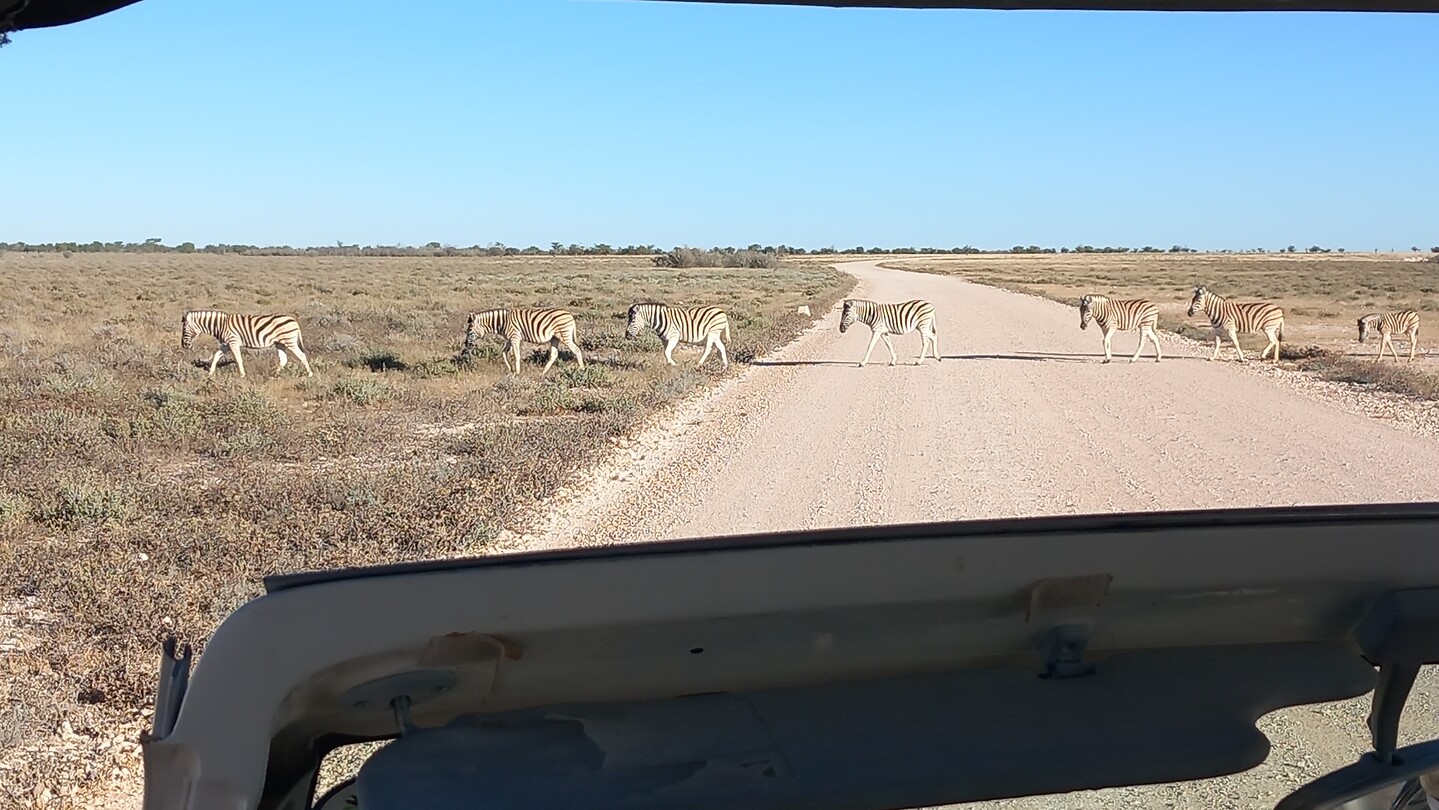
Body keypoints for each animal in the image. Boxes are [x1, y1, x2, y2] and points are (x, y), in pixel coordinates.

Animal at [180, 310, 313, 378]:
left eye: (184, 329)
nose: (184, 345)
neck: (220, 326)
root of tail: (294, 320)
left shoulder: (233, 341)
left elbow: (238, 359)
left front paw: (242, 375)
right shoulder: (226, 344)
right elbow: (216, 356)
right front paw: (211, 373)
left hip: (289, 341)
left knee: (302, 356)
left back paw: (310, 374)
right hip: (280, 343)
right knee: (284, 359)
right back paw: (274, 374)